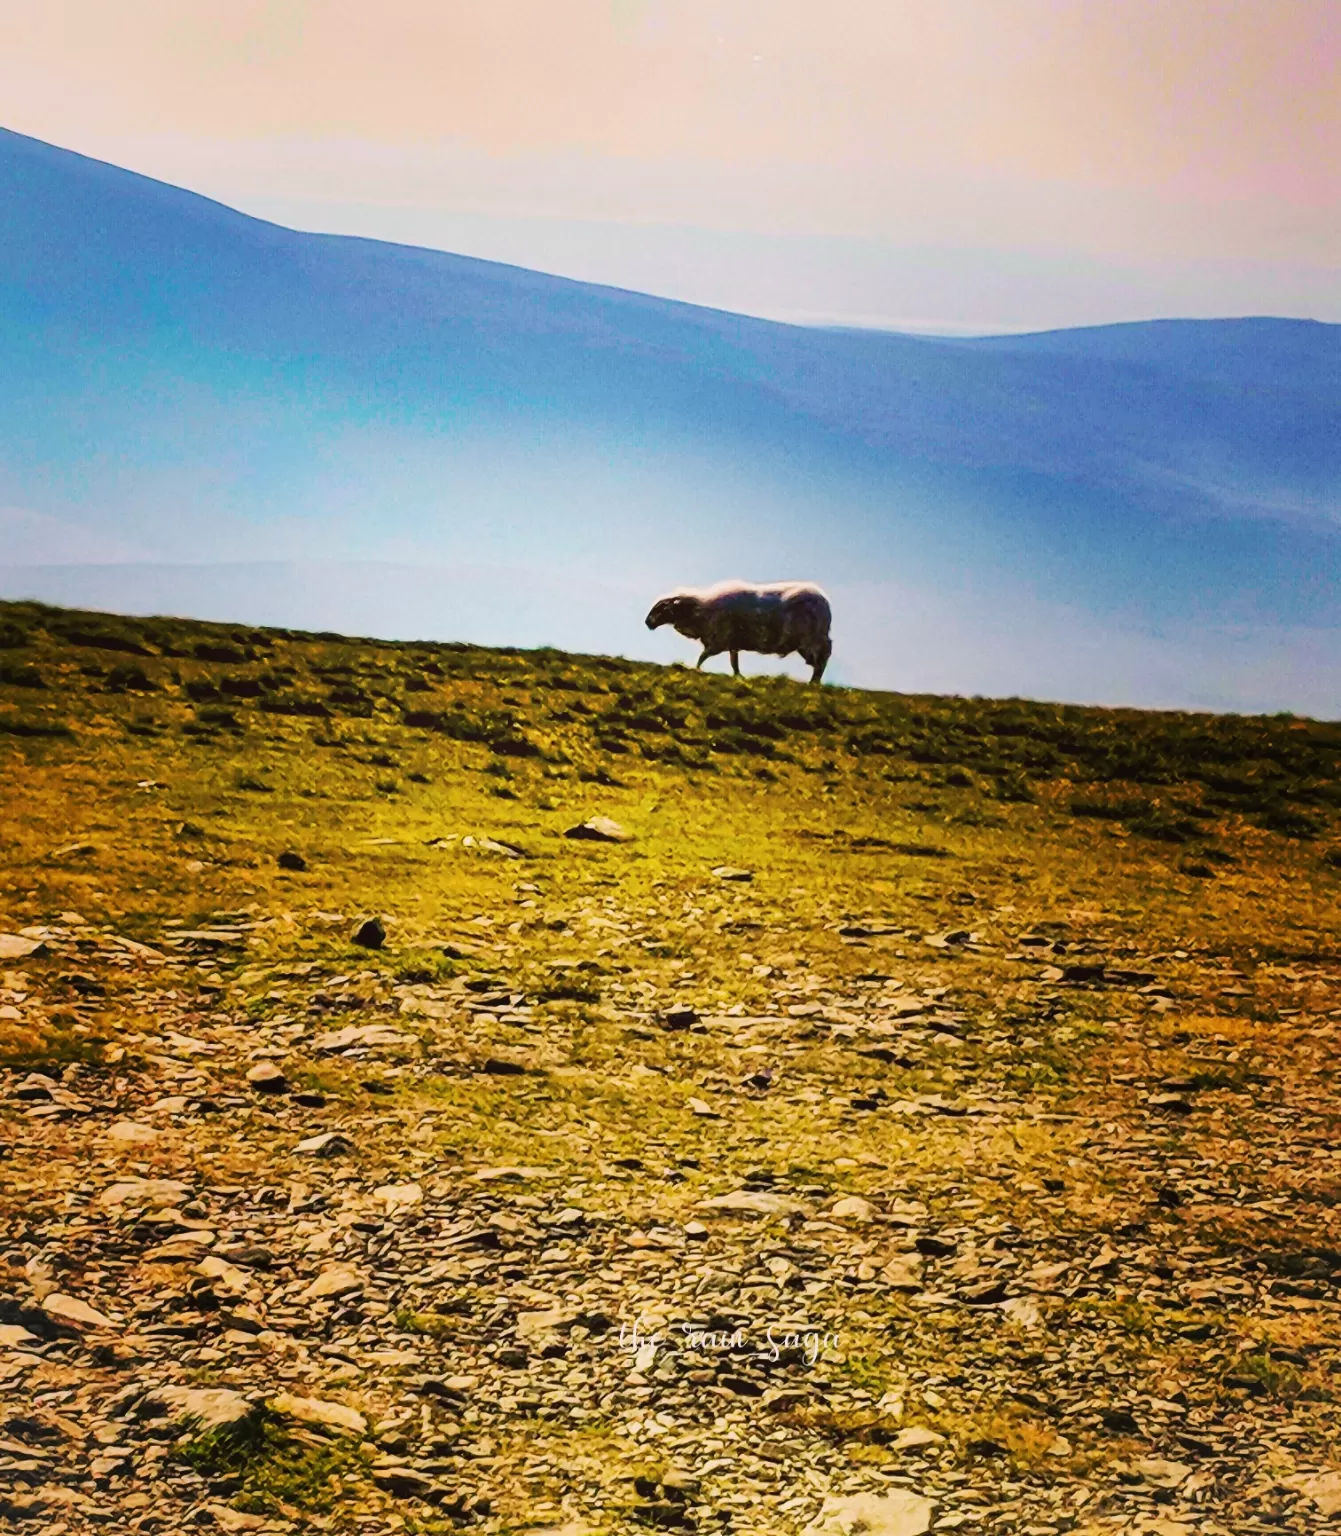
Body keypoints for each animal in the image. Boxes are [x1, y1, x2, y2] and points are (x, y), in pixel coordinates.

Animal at [642, 580, 829, 685]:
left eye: (661, 608)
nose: (647, 622)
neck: (702, 610)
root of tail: (825, 602)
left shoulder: (719, 641)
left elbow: (703, 656)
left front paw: (696, 669)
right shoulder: (732, 644)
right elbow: (734, 663)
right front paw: (739, 677)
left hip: (814, 641)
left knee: (821, 662)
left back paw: (814, 683)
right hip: (806, 645)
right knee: (818, 663)